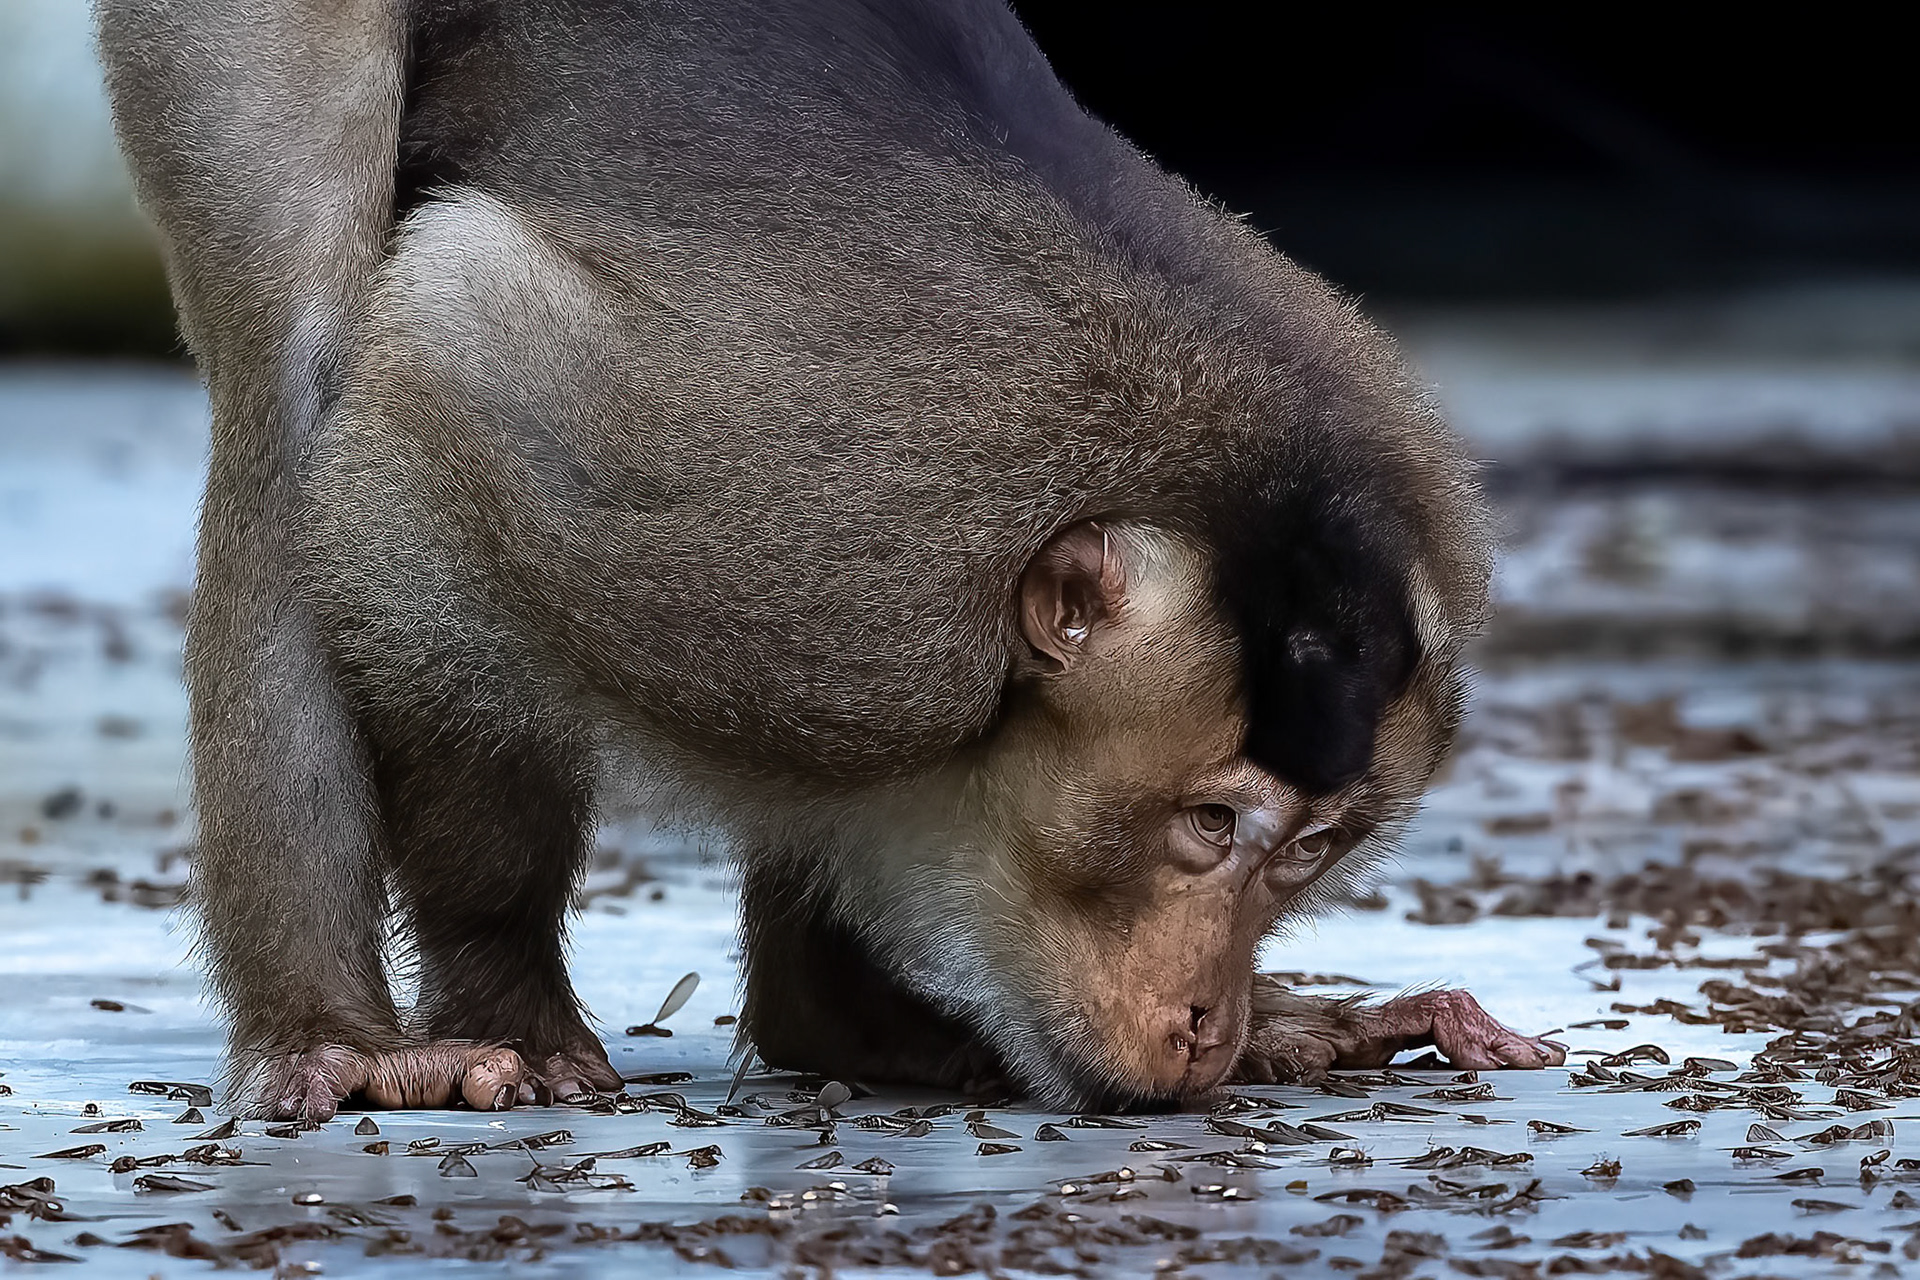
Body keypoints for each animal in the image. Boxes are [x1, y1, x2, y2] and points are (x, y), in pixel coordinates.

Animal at [98, 0, 1564, 1120]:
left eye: (1310, 849)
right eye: (1211, 824)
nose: (1209, 1018)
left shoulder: (848, 631)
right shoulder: (821, 564)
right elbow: (438, 384)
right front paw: (505, 989)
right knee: (294, 356)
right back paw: (326, 1036)